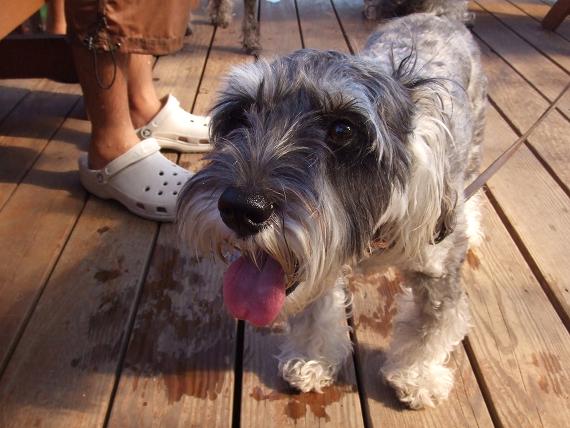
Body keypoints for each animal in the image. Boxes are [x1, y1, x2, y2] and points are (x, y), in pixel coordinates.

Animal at [178, 0, 486, 409]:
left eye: (343, 130)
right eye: (239, 114)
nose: (241, 209)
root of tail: (438, 14)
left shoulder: (436, 275)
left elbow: (431, 326)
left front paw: (417, 376)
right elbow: (315, 311)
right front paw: (311, 360)